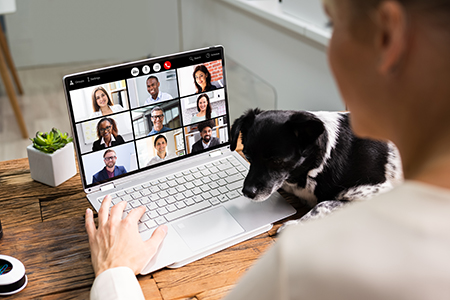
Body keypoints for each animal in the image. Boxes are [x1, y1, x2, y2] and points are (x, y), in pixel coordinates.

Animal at [230, 109, 402, 226]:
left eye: (277, 161)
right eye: (247, 156)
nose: (247, 192)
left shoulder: (379, 190)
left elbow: (322, 205)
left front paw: (294, 225)